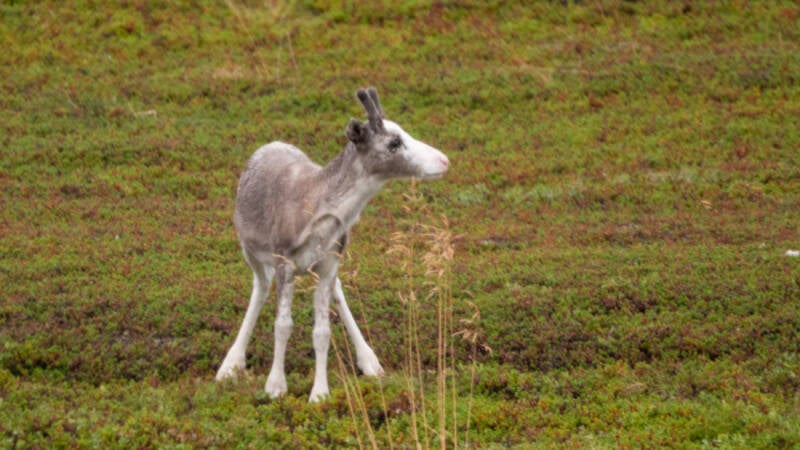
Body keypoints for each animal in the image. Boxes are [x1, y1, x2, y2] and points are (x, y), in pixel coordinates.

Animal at [215, 87, 449, 402]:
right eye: (394, 141)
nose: (444, 160)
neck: (321, 212)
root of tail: (267, 146)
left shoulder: (328, 264)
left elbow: (322, 332)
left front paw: (319, 393)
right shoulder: (284, 261)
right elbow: (282, 325)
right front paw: (275, 386)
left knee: (337, 291)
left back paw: (370, 361)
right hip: (250, 250)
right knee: (260, 286)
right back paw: (230, 364)